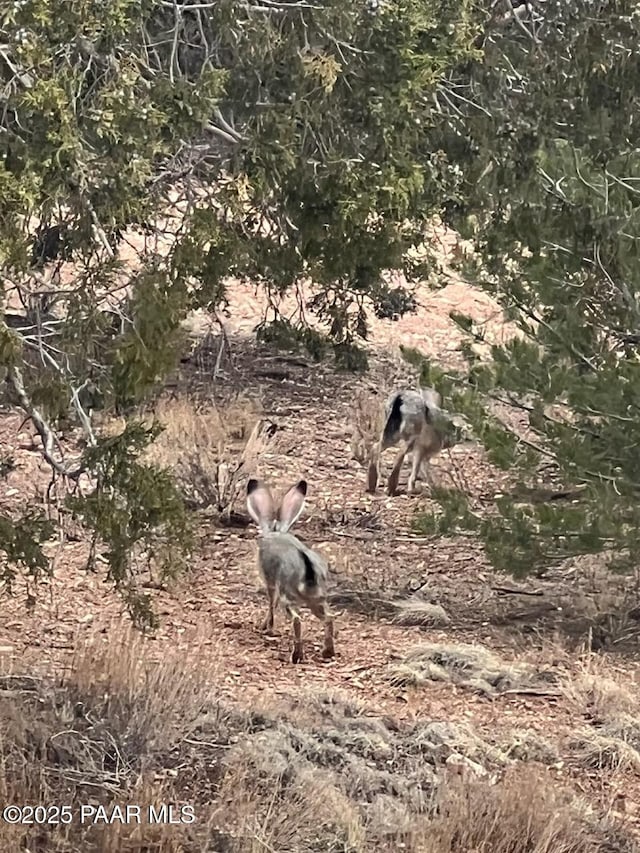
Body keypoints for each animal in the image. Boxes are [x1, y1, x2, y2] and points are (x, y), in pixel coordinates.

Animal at [245, 476, 336, 664]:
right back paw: (327, 652)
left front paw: (266, 627)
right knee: (329, 618)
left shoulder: (271, 584)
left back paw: (296, 656)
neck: (275, 533)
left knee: (297, 620)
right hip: (317, 600)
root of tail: (309, 574)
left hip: (289, 598)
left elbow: (271, 603)